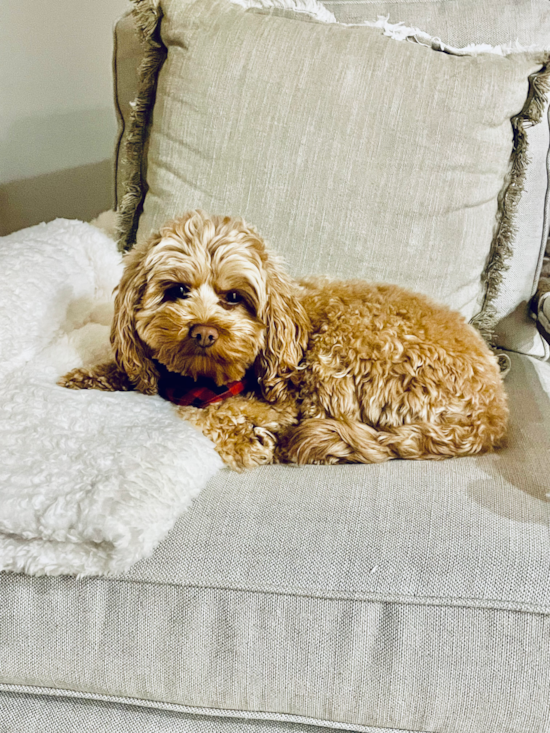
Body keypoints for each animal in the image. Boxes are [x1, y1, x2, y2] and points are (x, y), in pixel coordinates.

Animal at [59, 207, 508, 468]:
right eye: (177, 291)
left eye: (234, 297)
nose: (203, 331)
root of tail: (492, 415)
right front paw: (87, 377)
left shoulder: (282, 402)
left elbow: (215, 414)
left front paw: (248, 441)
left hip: (339, 353)